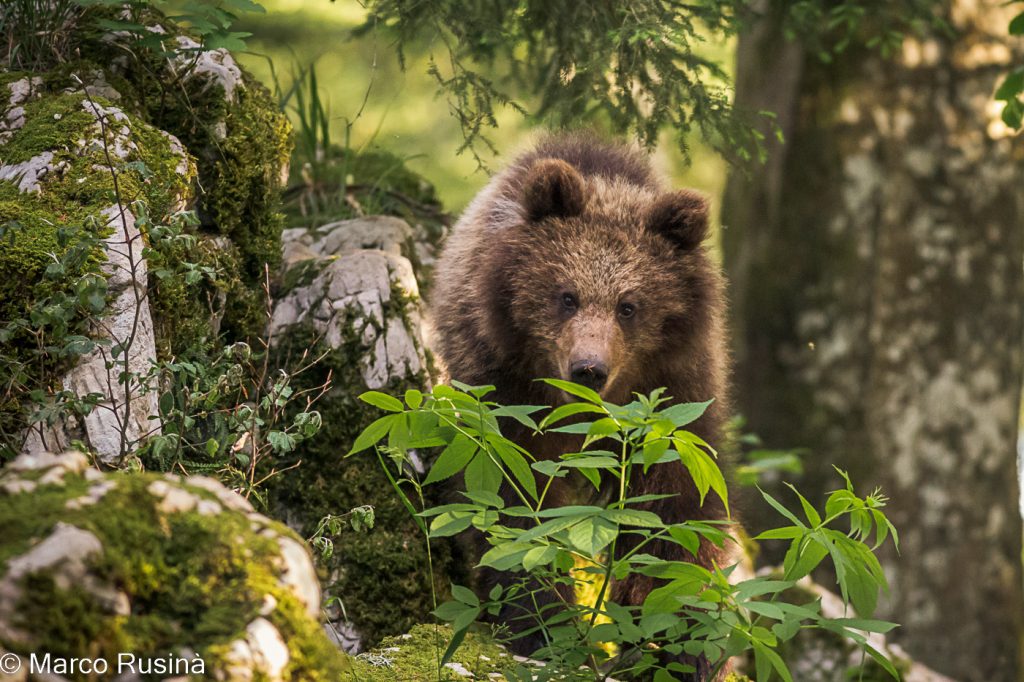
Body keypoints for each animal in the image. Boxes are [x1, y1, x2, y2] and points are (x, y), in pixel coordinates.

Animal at [428, 131, 733, 675]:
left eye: (629, 305)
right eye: (566, 295)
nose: (588, 368)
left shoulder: (674, 399)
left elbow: (675, 514)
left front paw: (675, 646)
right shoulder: (506, 392)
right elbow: (514, 501)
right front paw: (545, 625)